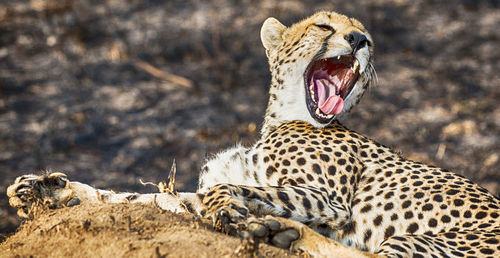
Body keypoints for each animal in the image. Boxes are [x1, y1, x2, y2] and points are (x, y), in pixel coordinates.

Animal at [5, 11, 498, 256]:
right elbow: (145, 200)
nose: (359, 40)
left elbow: (222, 191)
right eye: (324, 25)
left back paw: (281, 233)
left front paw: (233, 211)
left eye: (369, 39)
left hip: (428, 239)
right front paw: (50, 191)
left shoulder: (330, 201)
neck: (283, 117)